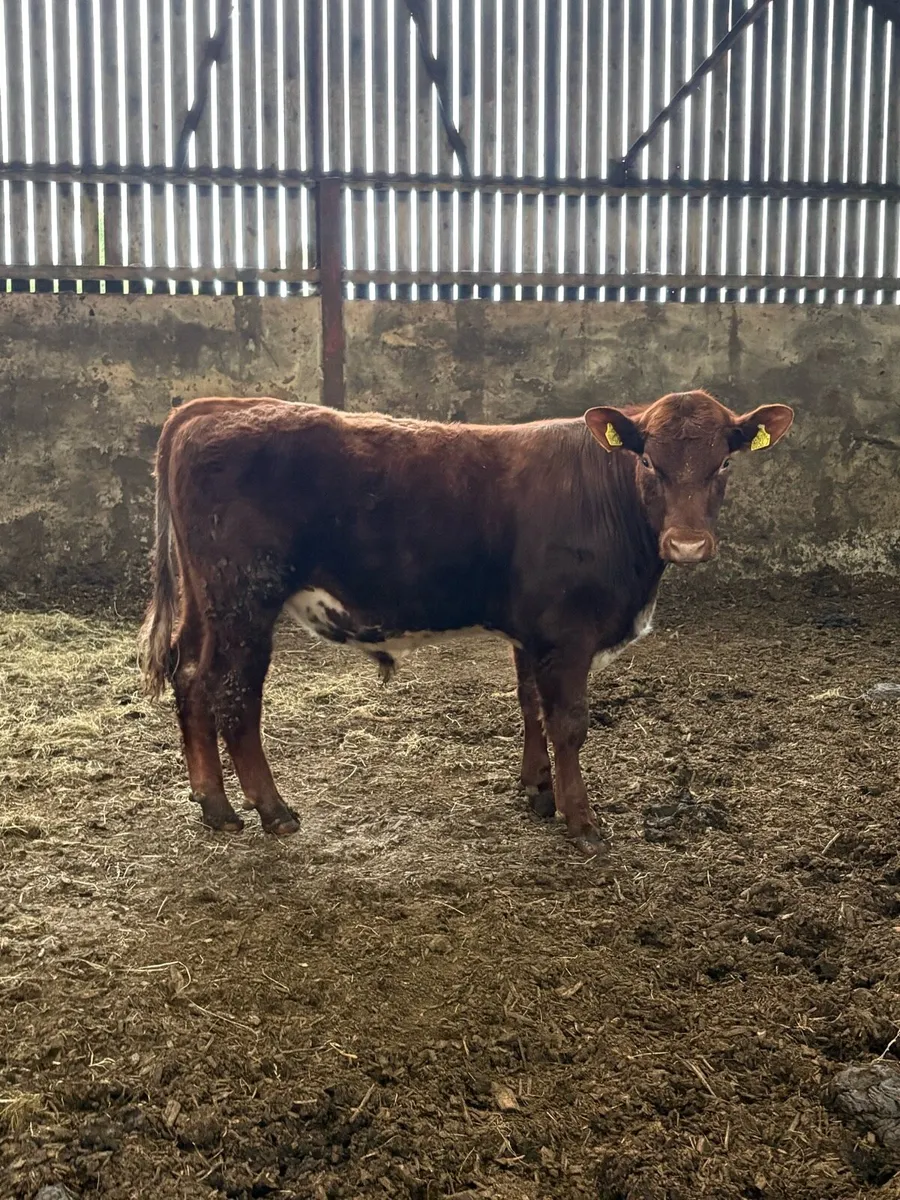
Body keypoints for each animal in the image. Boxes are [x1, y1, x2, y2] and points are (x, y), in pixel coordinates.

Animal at [140, 390, 793, 855]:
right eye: (650, 462)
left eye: (724, 462)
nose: (687, 544)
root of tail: (216, 405)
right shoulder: (569, 633)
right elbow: (569, 723)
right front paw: (581, 820)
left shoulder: (534, 633)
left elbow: (531, 706)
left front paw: (538, 792)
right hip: (244, 599)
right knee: (235, 696)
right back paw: (272, 811)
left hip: (206, 604)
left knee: (192, 681)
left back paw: (215, 808)